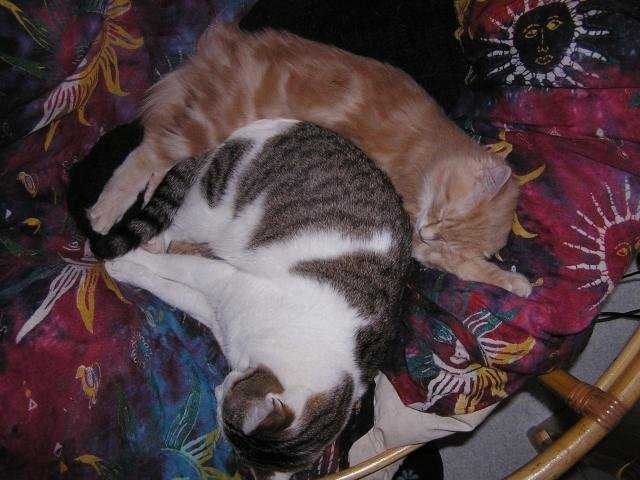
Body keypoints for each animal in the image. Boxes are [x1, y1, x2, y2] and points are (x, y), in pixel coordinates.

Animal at [87, 25, 531, 297]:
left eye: (444, 233)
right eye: (442, 211)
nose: (426, 232)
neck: (432, 157)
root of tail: (222, 48)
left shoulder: (426, 249)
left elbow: (467, 268)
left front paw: (513, 282)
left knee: (158, 167)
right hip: (209, 128)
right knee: (146, 155)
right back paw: (106, 211)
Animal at [99, 119, 412, 477]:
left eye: (224, 413)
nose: (218, 390)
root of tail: (274, 124)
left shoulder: (221, 310)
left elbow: (175, 289)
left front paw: (130, 269)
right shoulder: (227, 278)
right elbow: (175, 268)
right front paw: (124, 263)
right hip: (208, 214)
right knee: (173, 225)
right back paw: (152, 242)